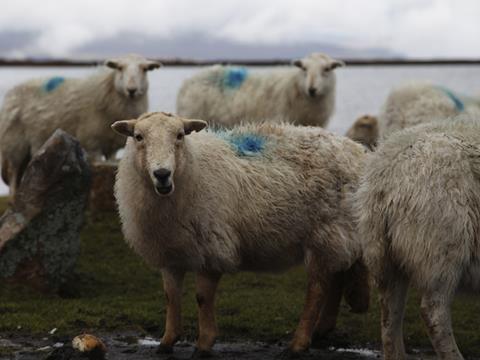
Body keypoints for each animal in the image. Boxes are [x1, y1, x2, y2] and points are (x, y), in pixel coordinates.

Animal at [0, 52, 161, 197]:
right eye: (120, 68)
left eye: (145, 69)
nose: (132, 90)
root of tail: (11, 93)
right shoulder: (92, 143)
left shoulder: (111, 146)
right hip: (16, 144)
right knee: (13, 176)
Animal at [112, 111, 372, 356]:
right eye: (138, 137)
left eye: (180, 135)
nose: (162, 174)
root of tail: (357, 150)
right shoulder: (171, 253)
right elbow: (171, 297)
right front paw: (167, 342)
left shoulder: (212, 248)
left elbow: (202, 297)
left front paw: (204, 344)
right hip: (336, 237)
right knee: (335, 278)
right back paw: (321, 331)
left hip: (325, 233)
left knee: (317, 289)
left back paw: (298, 345)